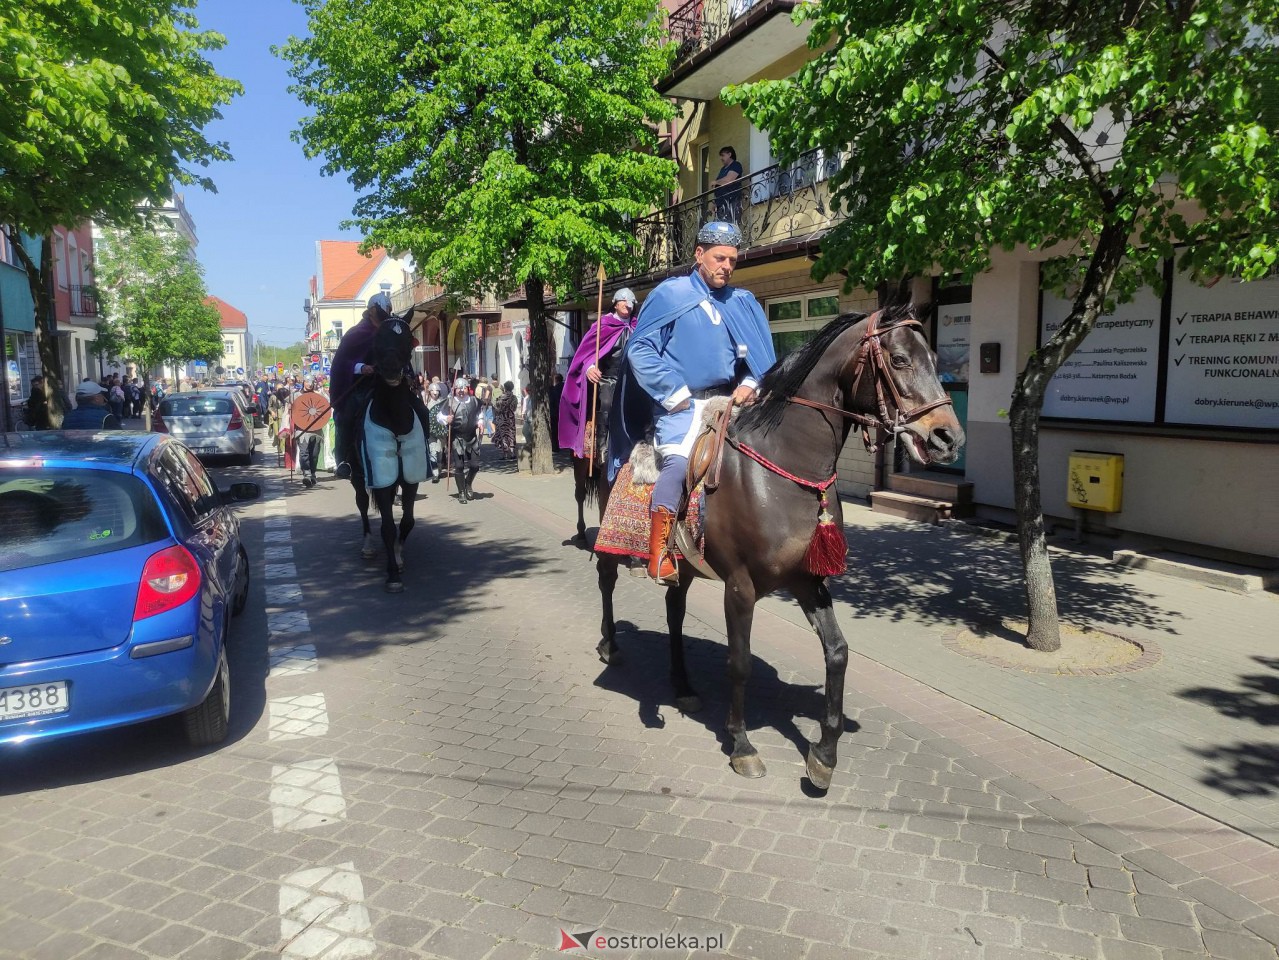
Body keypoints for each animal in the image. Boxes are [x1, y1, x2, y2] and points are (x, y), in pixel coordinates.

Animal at [593, 305, 961, 787]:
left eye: (935, 358)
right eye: (899, 360)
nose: (948, 438)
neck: (785, 468)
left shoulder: (807, 580)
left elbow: (838, 652)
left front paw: (824, 755)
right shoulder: (740, 587)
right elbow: (740, 662)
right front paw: (741, 745)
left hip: (685, 565)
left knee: (674, 612)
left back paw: (683, 686)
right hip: (608, 543)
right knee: (606, 582)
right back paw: (611, 646)